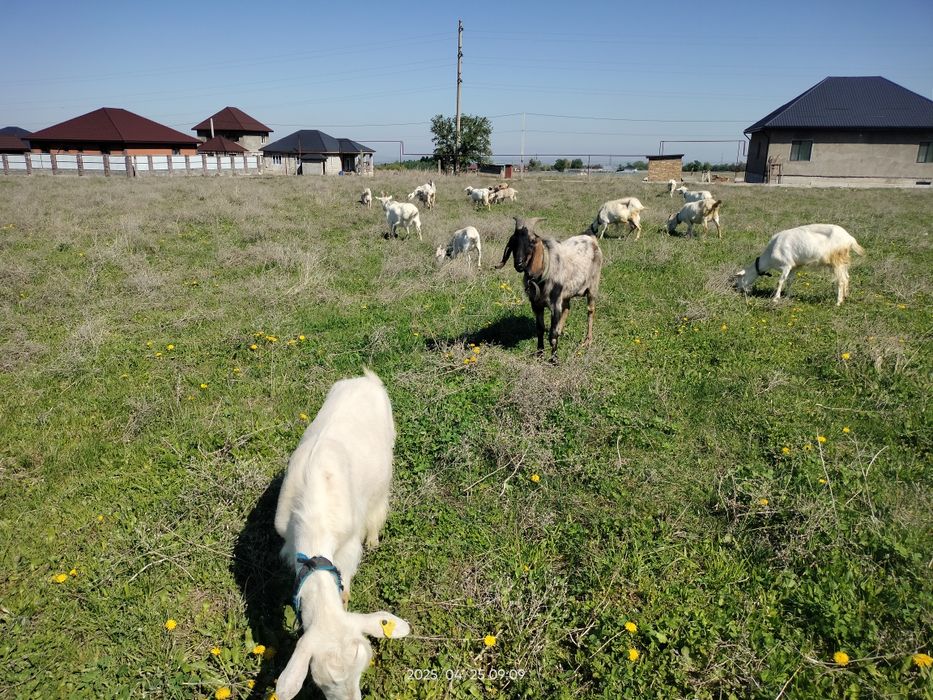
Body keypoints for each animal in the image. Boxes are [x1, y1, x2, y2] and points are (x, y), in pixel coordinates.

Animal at [274, 369, 410, 700]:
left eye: (362, 671)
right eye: (322, 682)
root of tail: (367, 378)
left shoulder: (348, 548)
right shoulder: (287, 543)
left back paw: (374, 538)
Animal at [495, 217, 602, 361]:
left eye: (532, 241)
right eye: (513, 240)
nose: (519, 264)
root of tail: (590, 238)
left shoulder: (554, 304)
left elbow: (552, 333)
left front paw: (554, 359)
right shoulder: (536, 305)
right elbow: (540, 329)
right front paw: (539, 354)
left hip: (593, 287)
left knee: (590, 311)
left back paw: (587, 341)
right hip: (567, 293)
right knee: (567, 308)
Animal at [733, 224, 865, 306]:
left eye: (740, 278)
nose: (739, 290)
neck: (770, 254)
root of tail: (849, 238)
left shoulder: (786, 265)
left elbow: (780, 281)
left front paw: (776, 298)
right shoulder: (793, 267)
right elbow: (790, 281)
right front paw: (787, 297)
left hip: (837, 261)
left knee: (841, 280)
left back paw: (838, 302)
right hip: (843, 262)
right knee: (847, 277)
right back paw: (845, 297)